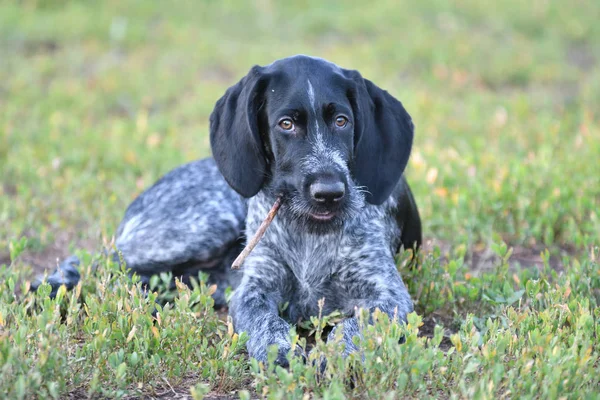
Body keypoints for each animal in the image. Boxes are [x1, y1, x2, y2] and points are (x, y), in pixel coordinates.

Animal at [29, 54, 422, 368]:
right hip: (197, 227)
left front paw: (337, 353)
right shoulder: (254, 290)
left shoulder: (388, 295)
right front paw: (282, 354)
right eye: (286, 124)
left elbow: (356, 324)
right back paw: (53, 286)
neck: (310, 231)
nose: (329, 193)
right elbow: (267, 324)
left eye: (342, 121)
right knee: (99, 257)